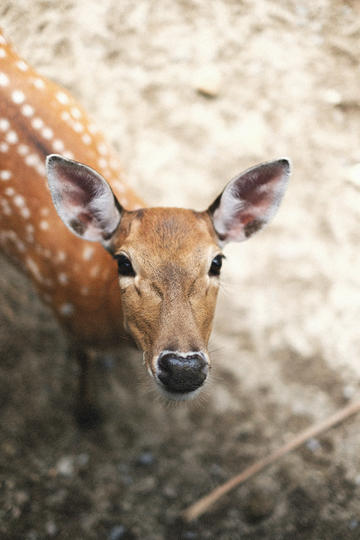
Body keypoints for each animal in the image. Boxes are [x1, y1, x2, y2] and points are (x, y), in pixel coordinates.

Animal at [0, 28, 290, 426]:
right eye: (124, 262)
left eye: (216, 262)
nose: (183, 368)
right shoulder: (67, 319)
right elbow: (82, 361)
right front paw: (86, 412)